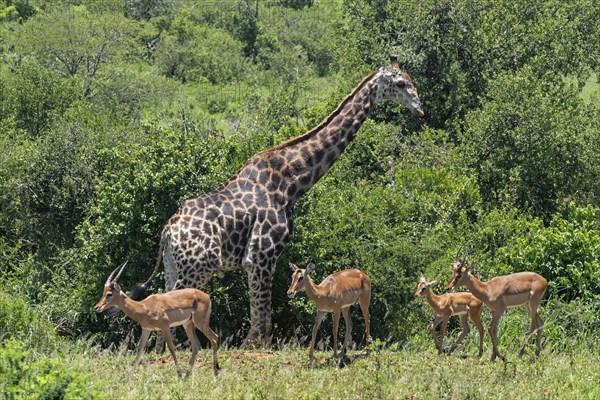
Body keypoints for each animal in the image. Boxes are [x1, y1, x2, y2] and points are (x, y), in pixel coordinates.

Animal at [143, 55, 424, 346]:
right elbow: (262, 322)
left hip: (173, 266)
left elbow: (263, 320)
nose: (419, 109)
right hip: (198, 267)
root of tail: (168, 232)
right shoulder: (261, 255)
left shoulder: (264, 259)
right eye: (401, 83)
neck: (290, 184)